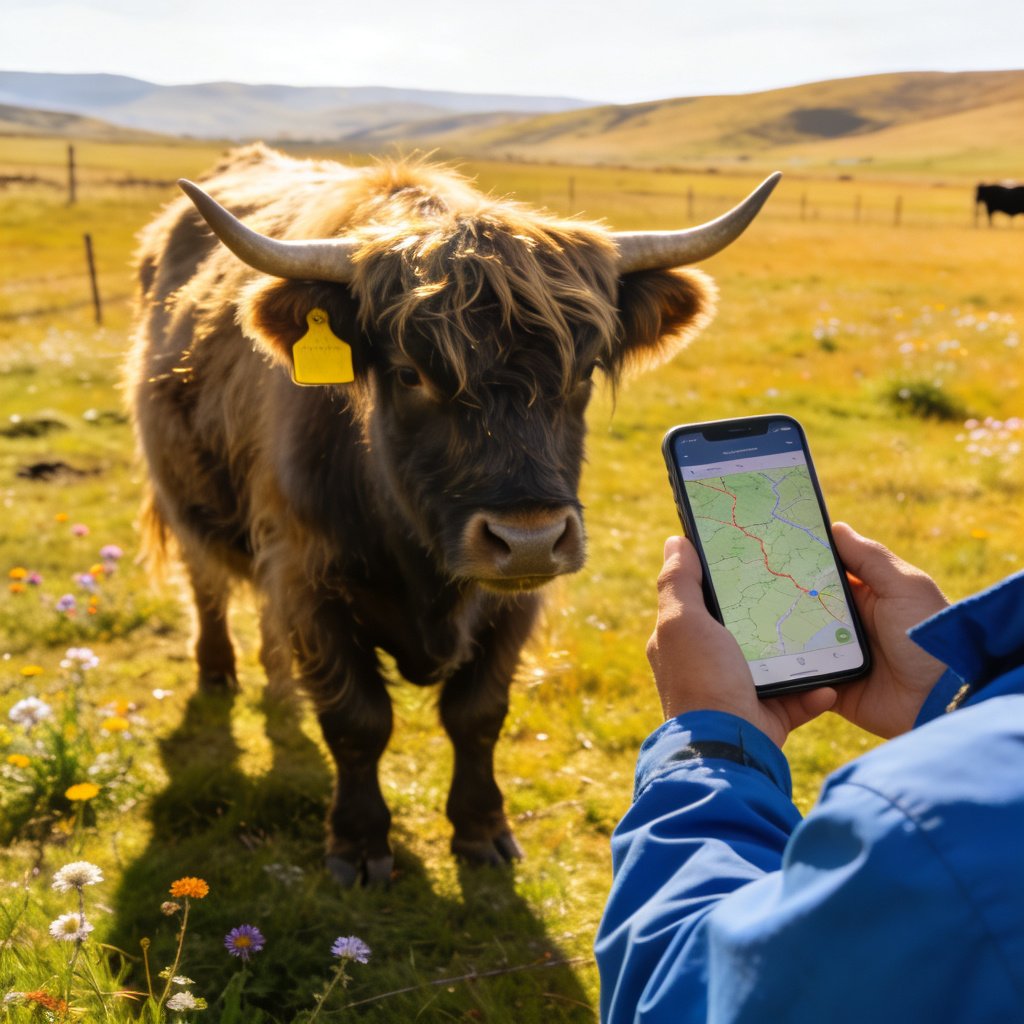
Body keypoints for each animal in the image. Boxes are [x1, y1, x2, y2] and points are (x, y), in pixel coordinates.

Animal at [128, 143, 778, 885]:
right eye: (410, 373)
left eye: (583, 372)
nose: (528, 539)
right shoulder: (308, 577)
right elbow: (357, 719)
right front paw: (359, 846)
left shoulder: (514, 603)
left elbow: (478, 714)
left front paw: (481, 830)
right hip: (184, 498)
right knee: (206, 586)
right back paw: (218, 675)